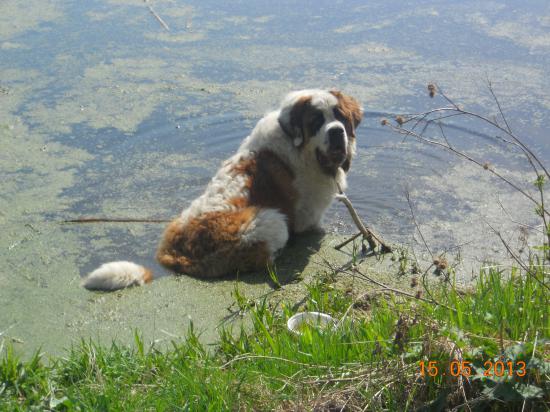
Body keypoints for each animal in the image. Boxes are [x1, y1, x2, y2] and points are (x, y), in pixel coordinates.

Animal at [82, 89, 364, 292]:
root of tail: (173, 254)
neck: (301, 150)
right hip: (270, 220)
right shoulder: (306, 215)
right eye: (316, 121)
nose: (336, 132)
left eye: (340, 117)